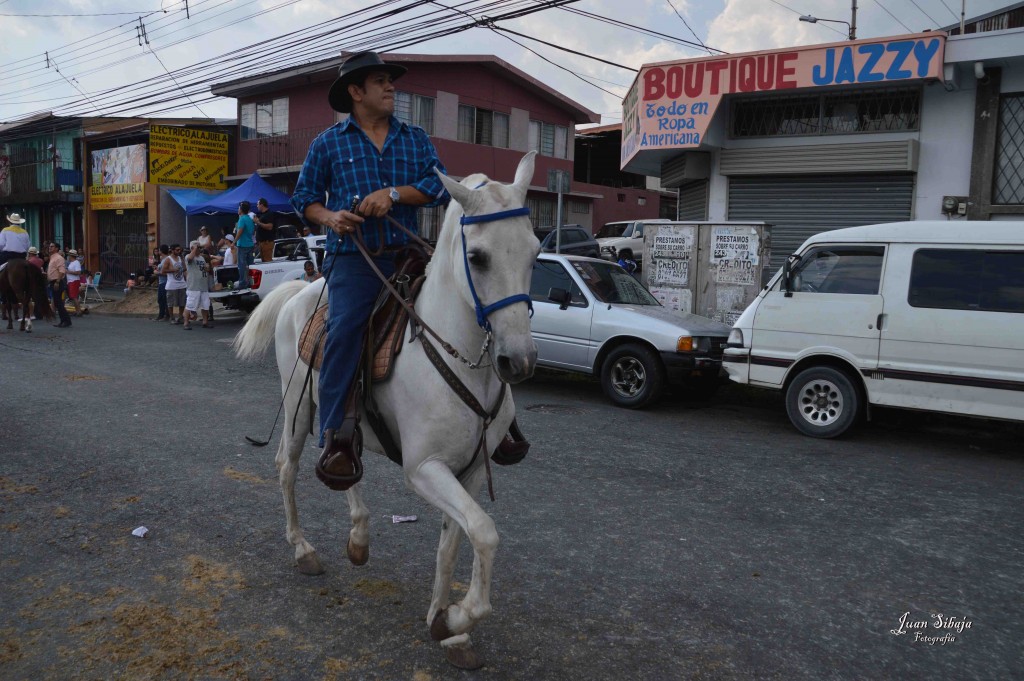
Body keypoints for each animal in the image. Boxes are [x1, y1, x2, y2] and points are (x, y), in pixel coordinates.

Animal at [229, 151, 540, 667]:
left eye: (536, 253)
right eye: (478, 257)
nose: (519, 361)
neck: (456, 352)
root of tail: (298, 291)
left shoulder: (471, 471)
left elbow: (454, 543)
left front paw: (446, 626)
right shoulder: (424, 468)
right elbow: (485, 531)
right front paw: (458, 617)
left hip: (336, 414)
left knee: (341, 455)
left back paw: (358, 537)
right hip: (297, 407)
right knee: (287, 467)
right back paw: (303, 549)